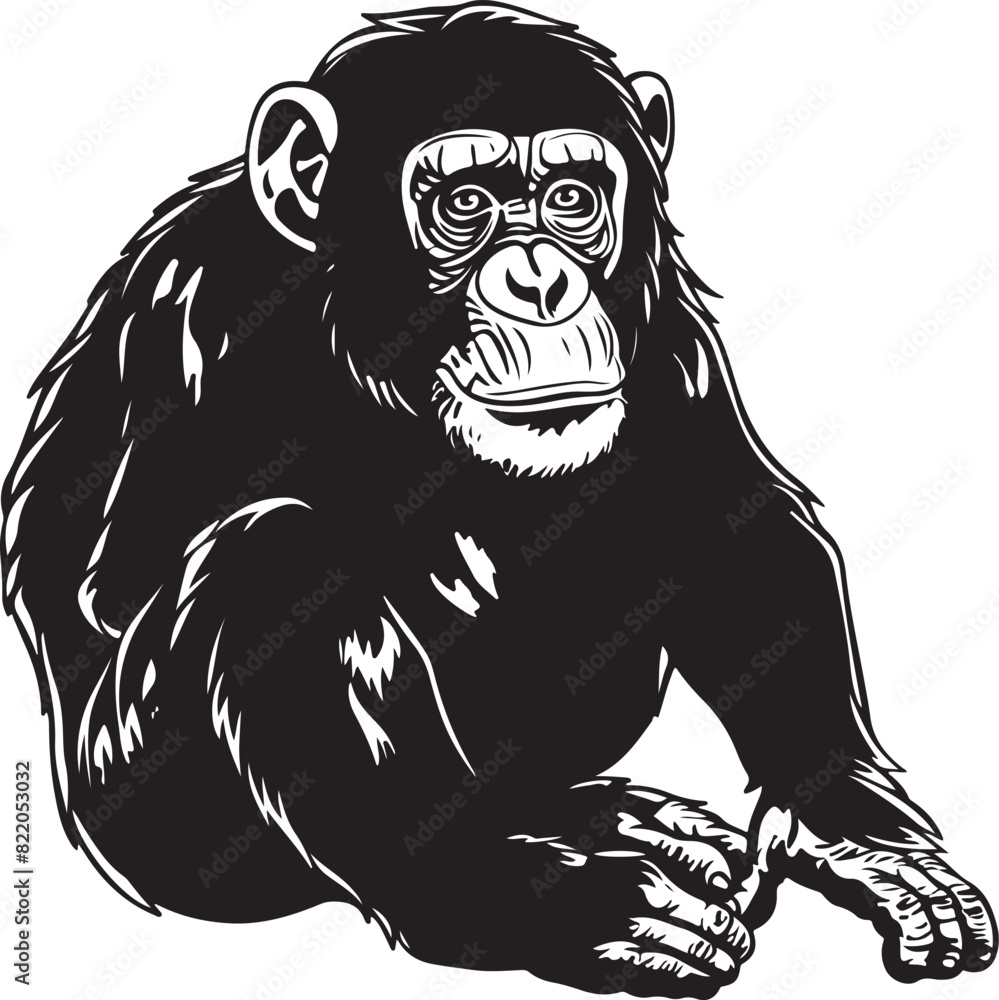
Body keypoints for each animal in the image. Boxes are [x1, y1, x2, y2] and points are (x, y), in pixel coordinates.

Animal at [2, 5, 994, 997]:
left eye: (572, 199)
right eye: (465, 206)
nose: (540, 282)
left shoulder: (660, 310)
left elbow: (725, 512)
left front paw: (860, 839)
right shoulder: (191, 301)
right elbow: (132, 580)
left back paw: (609, 820)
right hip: (140, 819)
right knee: (275, 560)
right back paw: (540, 893)